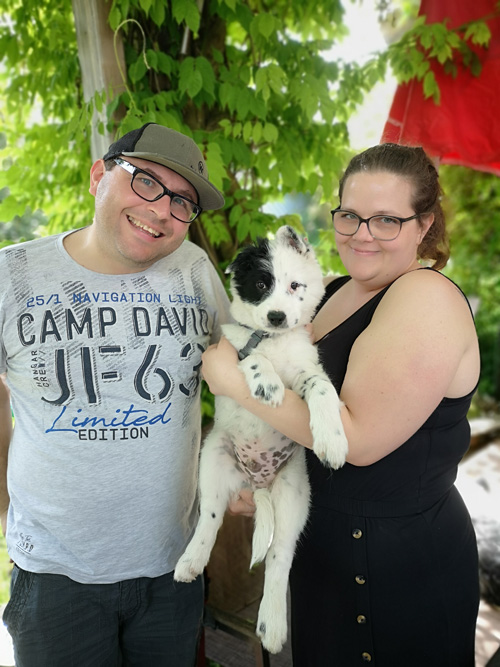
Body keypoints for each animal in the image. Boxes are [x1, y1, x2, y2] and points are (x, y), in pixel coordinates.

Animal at [174, 225, 348, 653]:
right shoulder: (229, 349)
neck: (273, 339)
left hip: (294, 496)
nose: (276, 316)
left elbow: (322, 387)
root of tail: (257, 485)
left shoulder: (306, 370)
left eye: (295, 286)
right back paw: (191, 561)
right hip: (214, 456)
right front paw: (265, 381)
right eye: (261, 284)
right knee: (210, 520)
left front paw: (332, 439)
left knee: (279, 559)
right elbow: (250, 356)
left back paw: (272, 624)